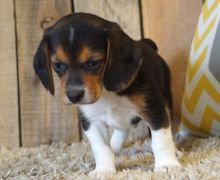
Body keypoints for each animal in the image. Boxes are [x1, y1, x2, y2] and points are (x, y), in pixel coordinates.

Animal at [33, 13, 180, 176]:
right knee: (122, 129)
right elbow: (101, 148)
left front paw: (167, 165)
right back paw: (114, 146)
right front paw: (103, 170)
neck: (105, 92)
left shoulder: (154, 109)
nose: (74, 95)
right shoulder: (91, 120)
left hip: (166, 100)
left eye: (93, 62)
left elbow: (161, 140)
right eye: (57, 65)